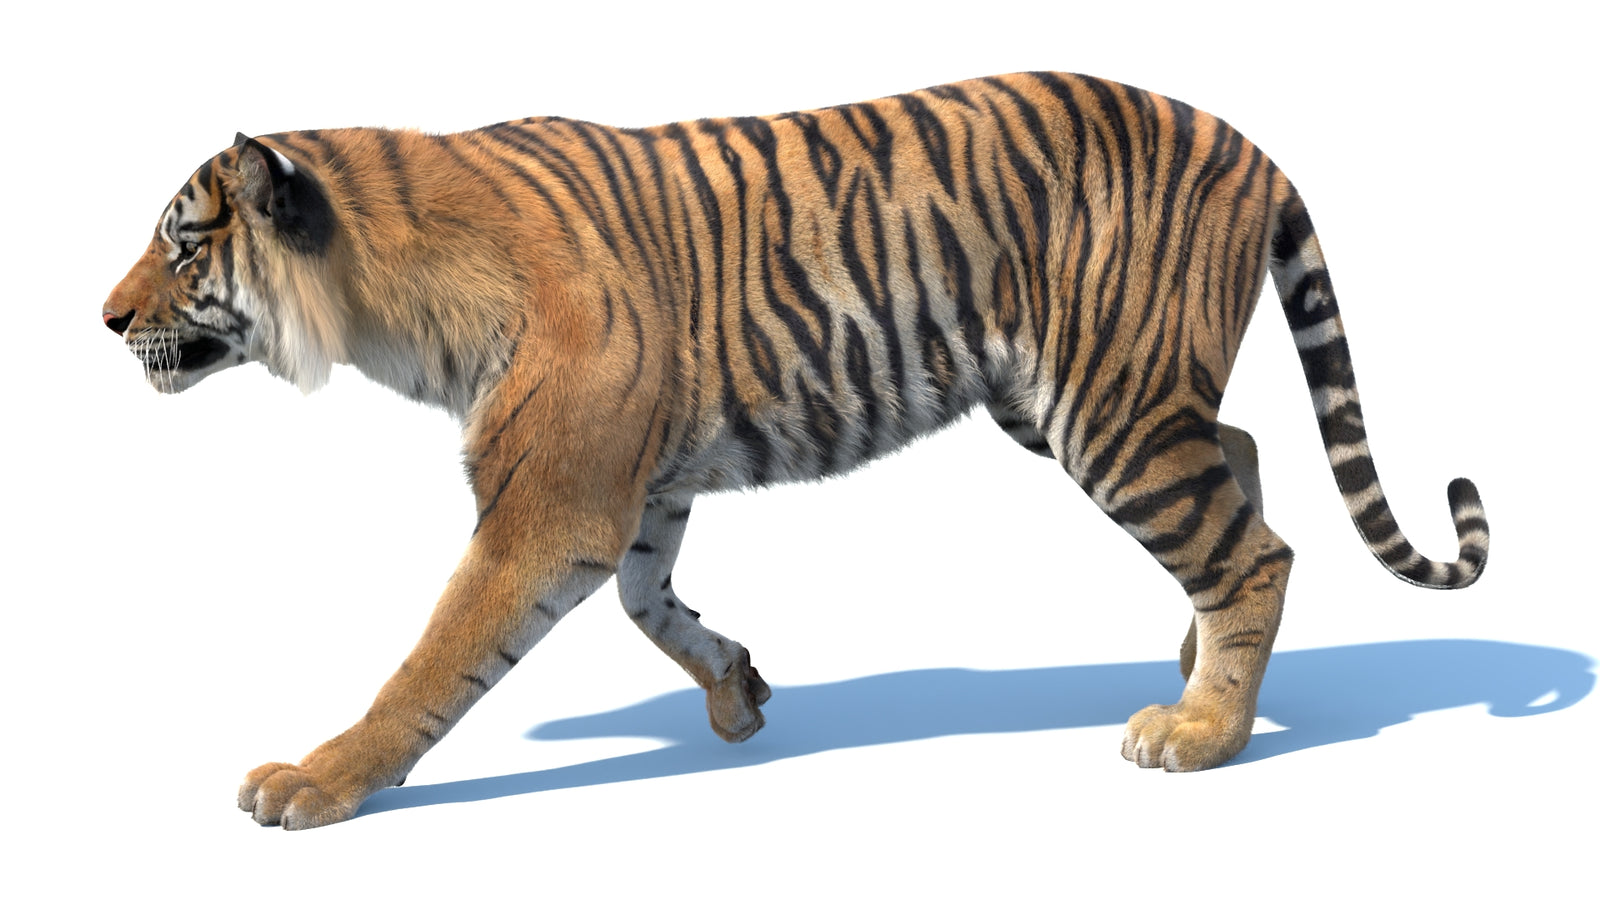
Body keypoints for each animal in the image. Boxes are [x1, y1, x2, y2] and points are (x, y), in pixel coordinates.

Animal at [103, 72, 1489, 829]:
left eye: (182, 244)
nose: (105, 320)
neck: (384, 293)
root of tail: (1250, 143)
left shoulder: (548, 503)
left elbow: (429, 664)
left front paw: (314, 781)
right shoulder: (641, 485)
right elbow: (649, 603)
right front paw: (737, 692)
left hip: (1108, 404)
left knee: (1254, 549)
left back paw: (1202, 730)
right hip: (1098, 400)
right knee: (1241, 459)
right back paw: (1196, 663)